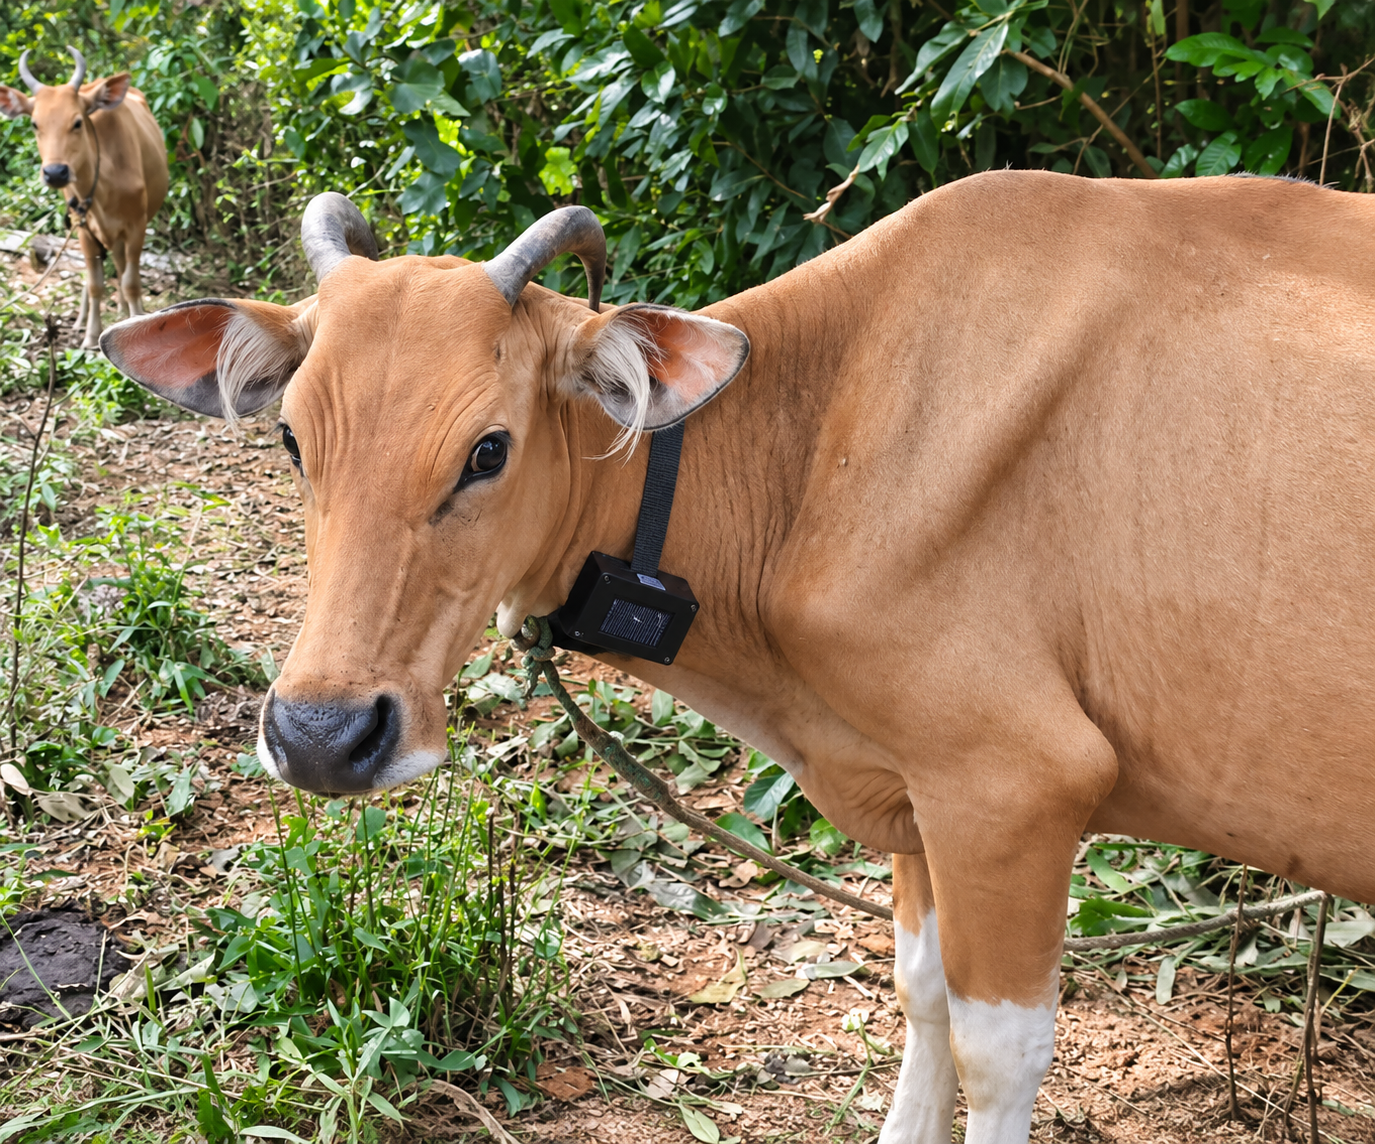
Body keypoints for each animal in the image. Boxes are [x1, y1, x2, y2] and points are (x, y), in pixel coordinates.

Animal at [0, 46, 168, 349]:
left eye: (77, 122)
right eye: (35, 124)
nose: (55, 172)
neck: (103, 186)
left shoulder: (136, 226)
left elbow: (131, 281)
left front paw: (136, 320)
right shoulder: (84, 230)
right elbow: (94, 285)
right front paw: (90, 336)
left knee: (122, 268)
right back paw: (83, 319)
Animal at [100, 171, 1375, 1144]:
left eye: (487, 450)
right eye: (290, 437)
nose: (322, 734)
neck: (819, 442)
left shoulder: (1014, 784)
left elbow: (996, 1048)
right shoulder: (918, 790)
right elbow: (919, 992)